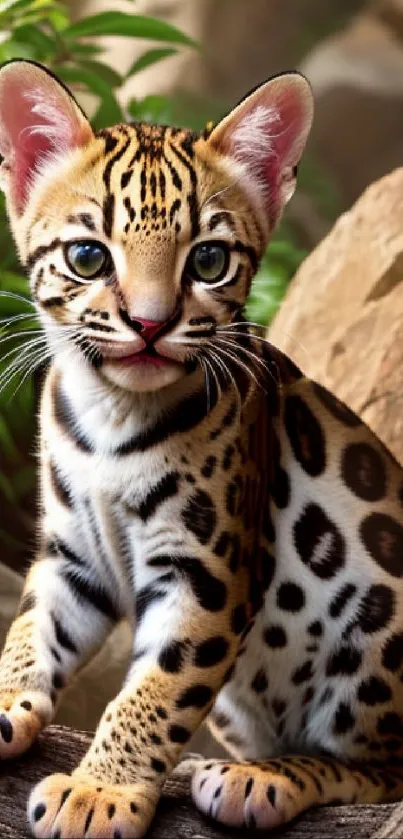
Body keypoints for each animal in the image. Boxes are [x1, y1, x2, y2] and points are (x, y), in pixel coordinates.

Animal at [0, 57, 403, 832]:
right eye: (88, 256)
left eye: (209, 260)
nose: (150, 324)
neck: (110, 411)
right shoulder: (71, 558)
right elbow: (29, 632)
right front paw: (7, 704)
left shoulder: (206, 569)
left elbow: (155, 689)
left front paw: (99, 792)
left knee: (384, 770)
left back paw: (260, 780)